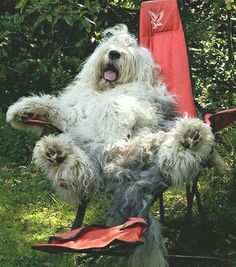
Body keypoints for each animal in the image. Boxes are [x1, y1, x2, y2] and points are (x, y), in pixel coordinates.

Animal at [6, 24, 216, 266]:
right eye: (111, 44)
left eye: (129, 48)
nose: (114, 54)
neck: (106, 89)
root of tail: (121, 173)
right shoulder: (74, 113)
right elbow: (53, 106)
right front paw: (21, 111)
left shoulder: (137, 102)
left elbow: (115, 106)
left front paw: (112, 128)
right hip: (92, 160)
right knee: (82, 175)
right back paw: (56, 154)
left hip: (150, 144)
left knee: (170, 157)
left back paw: (191, 136)